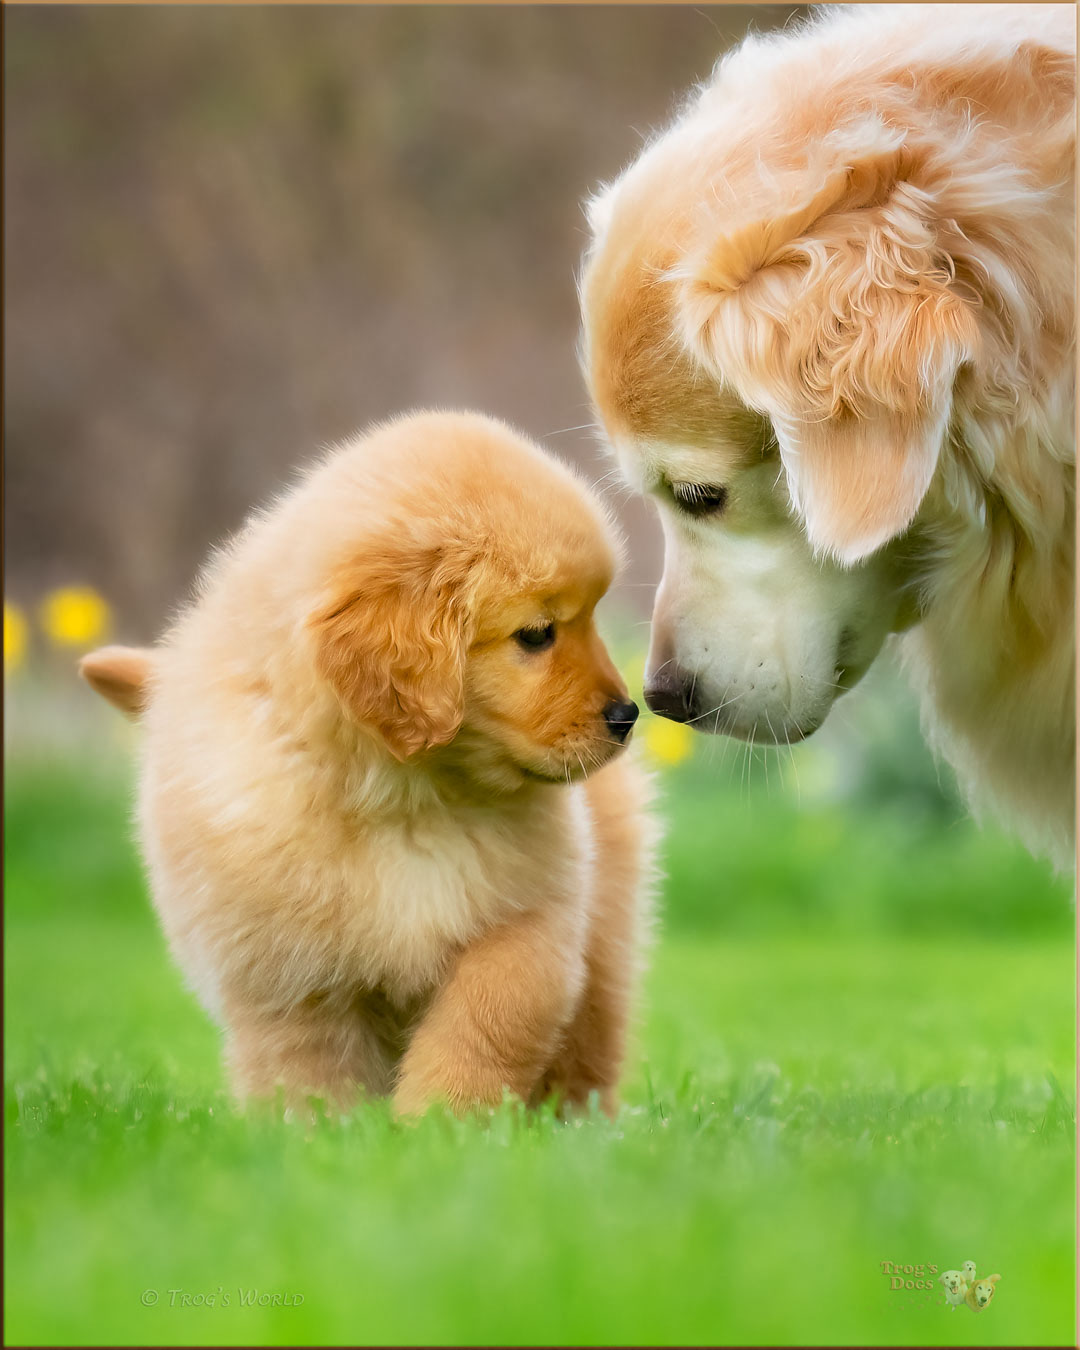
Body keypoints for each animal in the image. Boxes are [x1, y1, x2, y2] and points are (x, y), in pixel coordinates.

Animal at [80, 410, 653, 1117]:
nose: (627, 715)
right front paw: (332, 1133)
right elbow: (311, 1072)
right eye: (537, 635)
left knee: (589, 1044)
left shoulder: (527, 925)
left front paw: (440, 1122)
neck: (404, 798)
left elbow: (483, 1021)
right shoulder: (289, 973)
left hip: (607, 936)